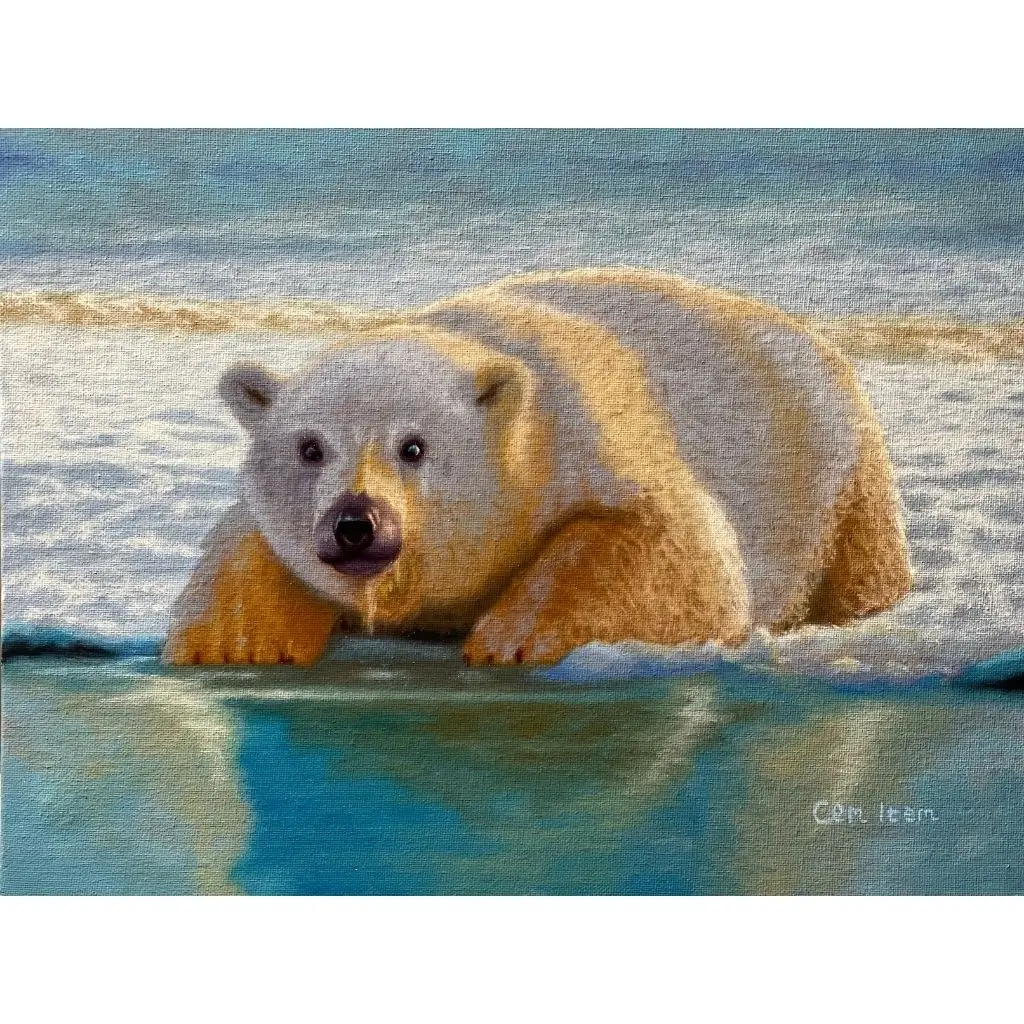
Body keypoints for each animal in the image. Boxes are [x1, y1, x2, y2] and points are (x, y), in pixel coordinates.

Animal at [163, 267, 912, 668]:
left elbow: (679, 547)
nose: (355, 523)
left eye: (414, 446)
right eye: (310, 447)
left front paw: (509, 639)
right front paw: (232, 644)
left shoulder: (585, 430)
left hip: (841, 471)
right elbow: (245, 545)